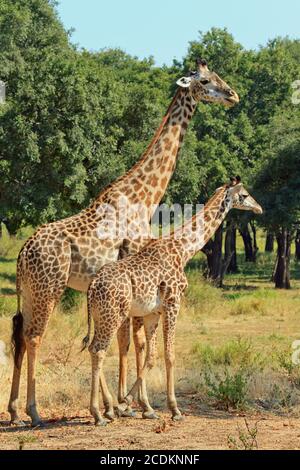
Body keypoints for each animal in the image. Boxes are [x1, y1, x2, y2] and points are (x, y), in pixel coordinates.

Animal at [8, 57, 240, 426]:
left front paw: (122, 405)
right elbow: (134, 342)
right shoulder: (134, 262)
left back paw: (15, 410)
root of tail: (21, 254)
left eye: (218, 76)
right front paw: (132, 405)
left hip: (29, 290)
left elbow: (127, 340)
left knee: (18, 330)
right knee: (35, 335)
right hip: (50, 287)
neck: (143, 196)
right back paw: (35, 412)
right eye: (205, 81)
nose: (232, 95)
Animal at [85, 177, 262, 426]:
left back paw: (108, 409)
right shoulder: (173, 303)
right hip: (113, 315)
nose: (259, 208)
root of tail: (92, 287)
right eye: (244, 195)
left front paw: (136, 406)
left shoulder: (153, 312)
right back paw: (99, 414)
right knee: (99, 350)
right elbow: (170, 355)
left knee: (94, 348)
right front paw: (174, 409)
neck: (183, 250)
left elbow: (151, 356)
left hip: (102, 316)